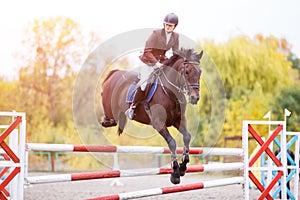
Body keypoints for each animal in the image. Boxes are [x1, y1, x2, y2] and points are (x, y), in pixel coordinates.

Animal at [100, 48, 202, 184]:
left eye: (200, 72)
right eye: (187, 71)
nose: (195, 98)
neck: (170, 92)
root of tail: (114, 73)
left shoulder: (178, 120)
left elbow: (187, 137)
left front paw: (183, 167)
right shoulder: (158, 123)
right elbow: (172, 142)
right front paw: (175, 173)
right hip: (110, 108)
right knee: (109, 119)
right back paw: (108, 120)